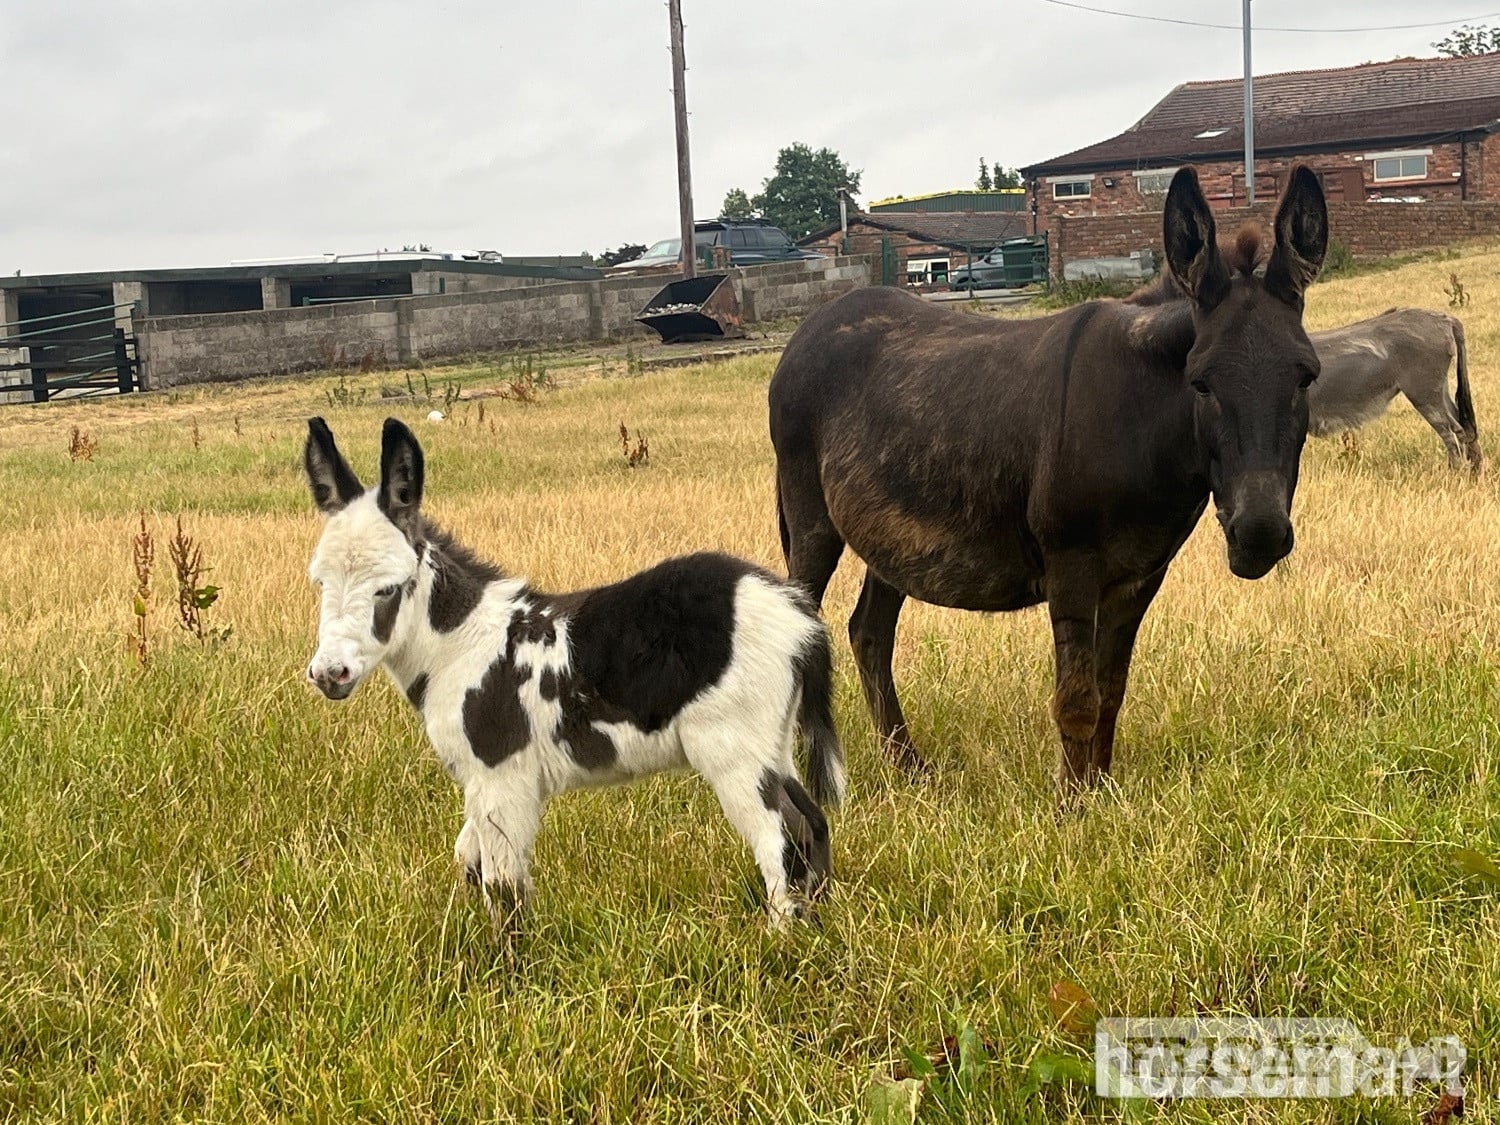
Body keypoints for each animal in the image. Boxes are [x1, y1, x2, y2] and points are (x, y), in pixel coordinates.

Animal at [303, 417, 844, 929]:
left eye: (389, 589)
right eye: (320, 583)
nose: (330, 674)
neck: (458, 646)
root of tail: (798, 615)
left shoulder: (502, 775)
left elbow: (503, 886)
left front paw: (509, 963)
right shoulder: (481, 782)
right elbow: (468, 860)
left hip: (732, 748)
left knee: (778, 839)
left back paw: (779, 938)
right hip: (773, 740)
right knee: (812, 824)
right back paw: (818, 927)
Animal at [768, 166, 1328, 795]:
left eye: (1306, 378)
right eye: (1201, 383)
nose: (1260, 536)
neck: (1141, 418)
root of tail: (811, 326)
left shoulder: (1140, 576)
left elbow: (1111, 693)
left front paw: (1101, 796)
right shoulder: (1070, 563)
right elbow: (1076, 701)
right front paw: (1070, 809)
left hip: (891, 534)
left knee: (869, 632)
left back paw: (909, 769)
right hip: (812, 518)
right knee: (803, 630)